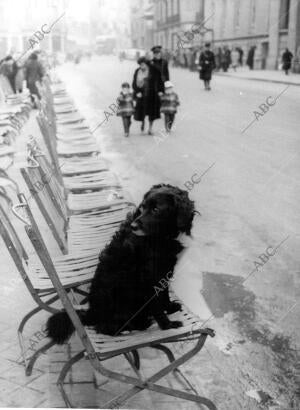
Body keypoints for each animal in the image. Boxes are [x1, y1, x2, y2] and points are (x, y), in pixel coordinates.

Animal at [45, 184, 196, 344]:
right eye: (142, 208)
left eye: (156, 209)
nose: (134, 226)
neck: (158, 237)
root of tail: (93, 313)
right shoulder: (147, 281)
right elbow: (156, 306)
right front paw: (167, 325)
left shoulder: (164, 271)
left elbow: (164, 294)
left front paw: (169, 307)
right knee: (106, 328)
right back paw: (137, 324)